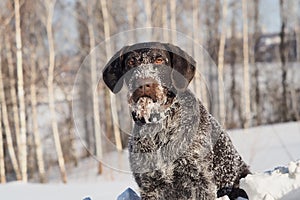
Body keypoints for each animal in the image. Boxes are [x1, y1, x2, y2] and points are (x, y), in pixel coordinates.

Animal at [102, 41, 250, 198]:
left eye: (159, 60)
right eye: (131, 62)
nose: (143, 83)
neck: (160, 126)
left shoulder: (201, 180)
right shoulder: (149, 185)